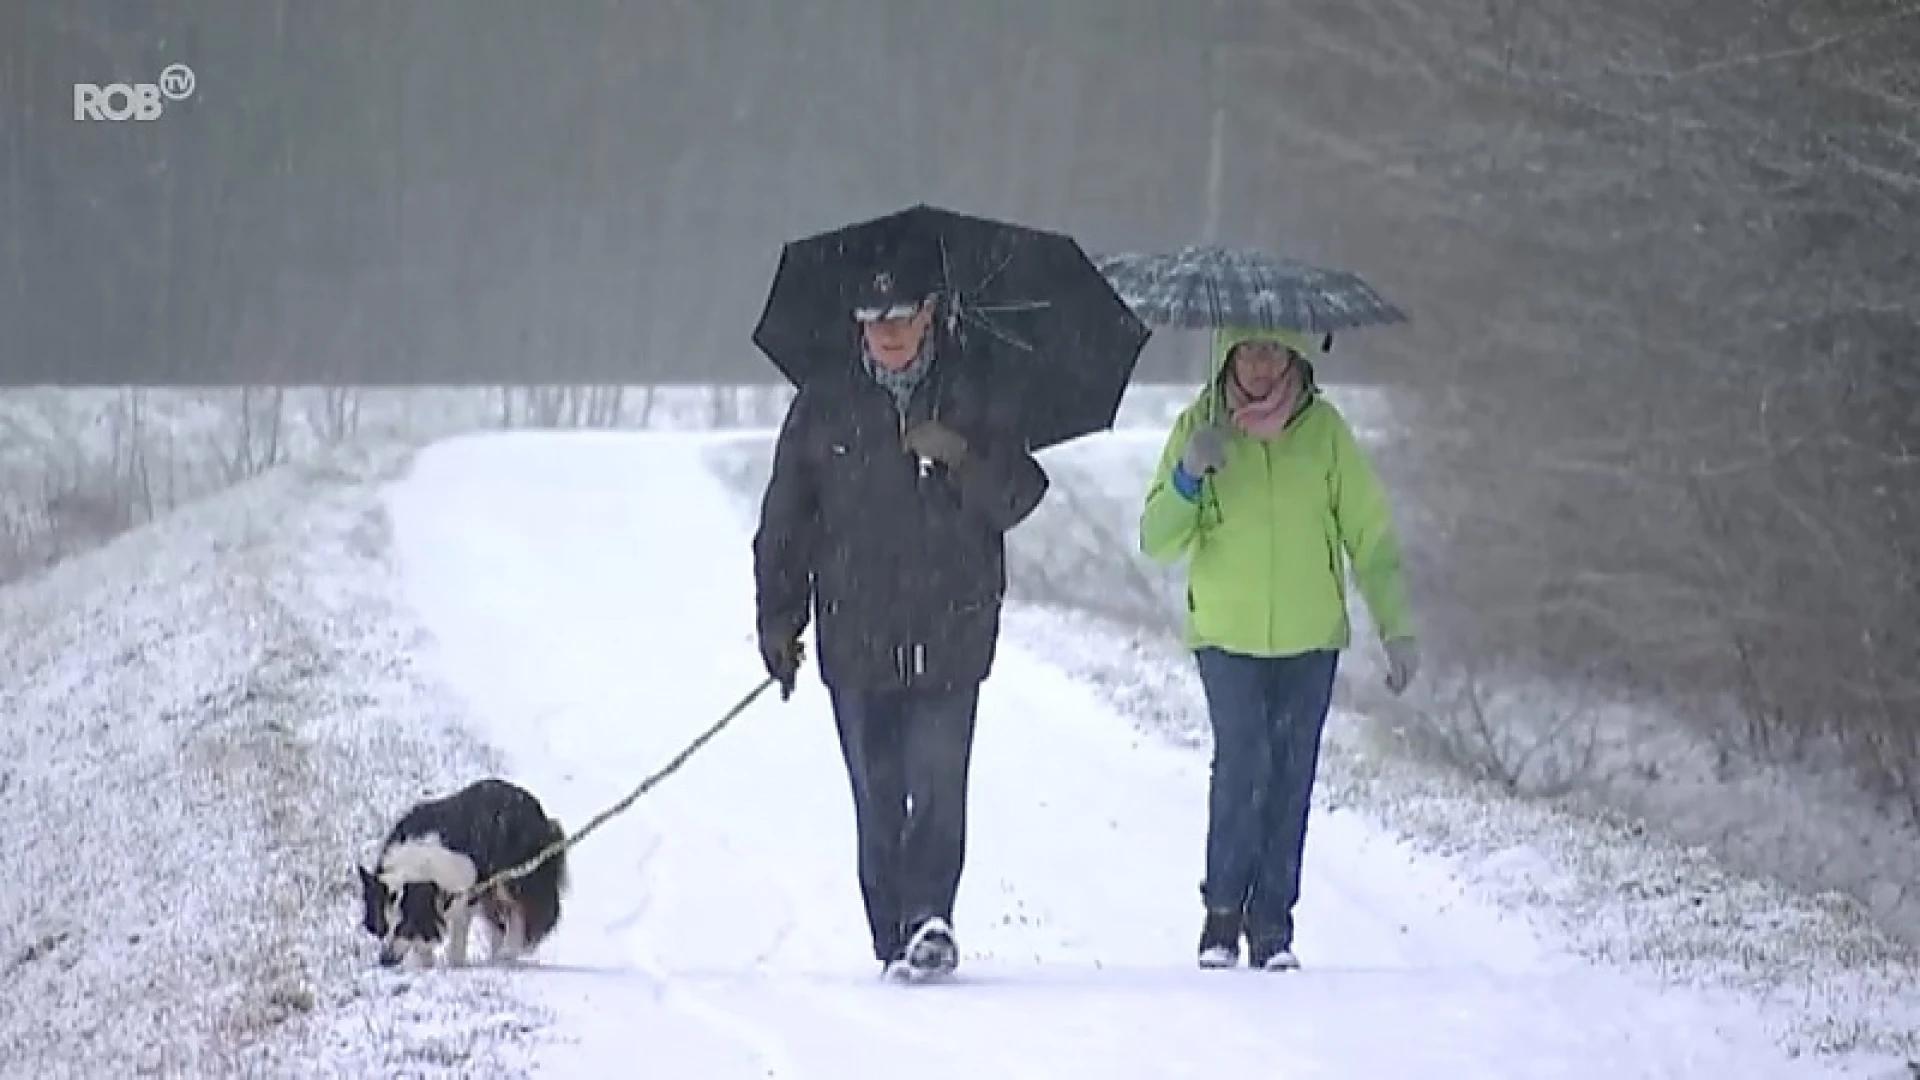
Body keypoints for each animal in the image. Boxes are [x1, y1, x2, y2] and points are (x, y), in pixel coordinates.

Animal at [355, 772, 564, 968]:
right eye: (382, 926)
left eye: (404, 927)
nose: (385, 960)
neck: (416, 864)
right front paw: (425, 963)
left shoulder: (464, 896)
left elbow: (456, 939)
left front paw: (453, 964)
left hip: (514, 877)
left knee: (520, 913)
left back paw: (509, 951)